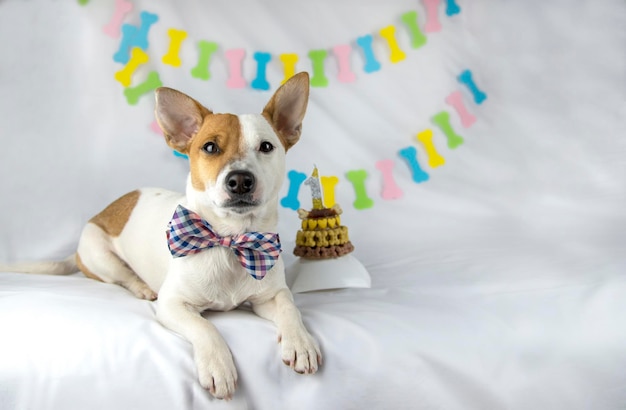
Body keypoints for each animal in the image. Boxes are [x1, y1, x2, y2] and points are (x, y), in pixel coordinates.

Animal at [4, 71, 324, 400]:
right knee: (123, 277)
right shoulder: (173, 306)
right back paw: (142, 287)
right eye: (210, 147)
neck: (230, 239)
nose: (240, 180)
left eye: (266, 147)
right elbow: (205, 328)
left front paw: (301, 343)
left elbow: (289, 306)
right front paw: (218, 366)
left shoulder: (270, 296)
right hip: (99, 254)